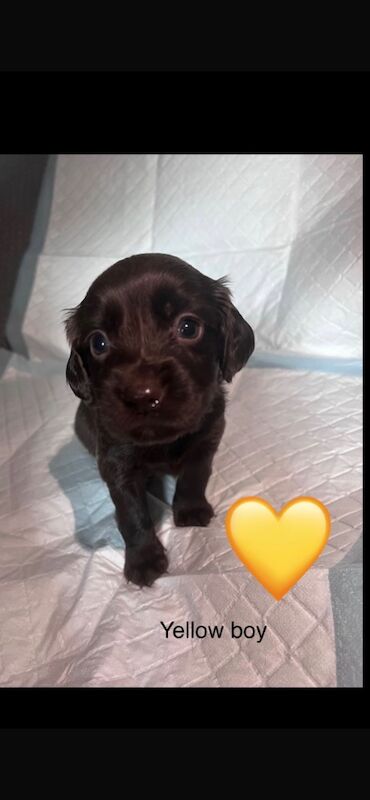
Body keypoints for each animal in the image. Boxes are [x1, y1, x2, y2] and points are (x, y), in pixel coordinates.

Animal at [65, 256, 254, 588]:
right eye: (98, 343)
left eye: (188, 327)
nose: (143, 396)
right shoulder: (117, 462)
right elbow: (132, 514)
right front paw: (144, 560)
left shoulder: (207, 438)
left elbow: (195, 475)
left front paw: (191, 510)